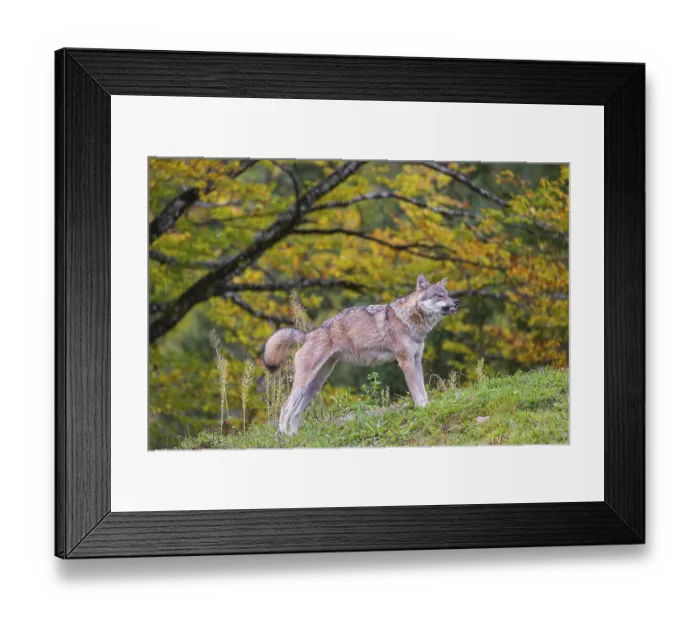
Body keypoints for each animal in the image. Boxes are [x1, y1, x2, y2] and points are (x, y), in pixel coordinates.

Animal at [263, 274, 459, 435]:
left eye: (447, 294)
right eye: (439, 296)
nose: (456, 301)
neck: (409, 320)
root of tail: (307, 335)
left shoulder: (417, 361)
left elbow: (424, 392)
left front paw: (428, 408)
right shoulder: (405, 362)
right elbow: (417, 393)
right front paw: (423, 410)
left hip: (315, 384)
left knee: (296, 412)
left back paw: (293, 437)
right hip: (304, 382)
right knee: (285, 407)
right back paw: (283, 435)